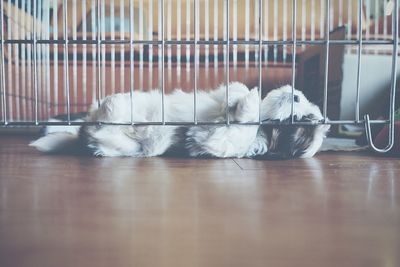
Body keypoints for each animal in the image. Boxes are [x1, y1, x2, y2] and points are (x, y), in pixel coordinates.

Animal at [31, 83, 330, 159]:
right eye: (301, 104)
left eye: (300, 119)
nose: (295, 93)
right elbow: (233, 89)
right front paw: (243, 95)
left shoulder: (217, 142)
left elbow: (238, 129)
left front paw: (249, 105)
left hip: (126, 144)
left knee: (105, 131)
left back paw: (114, 105)